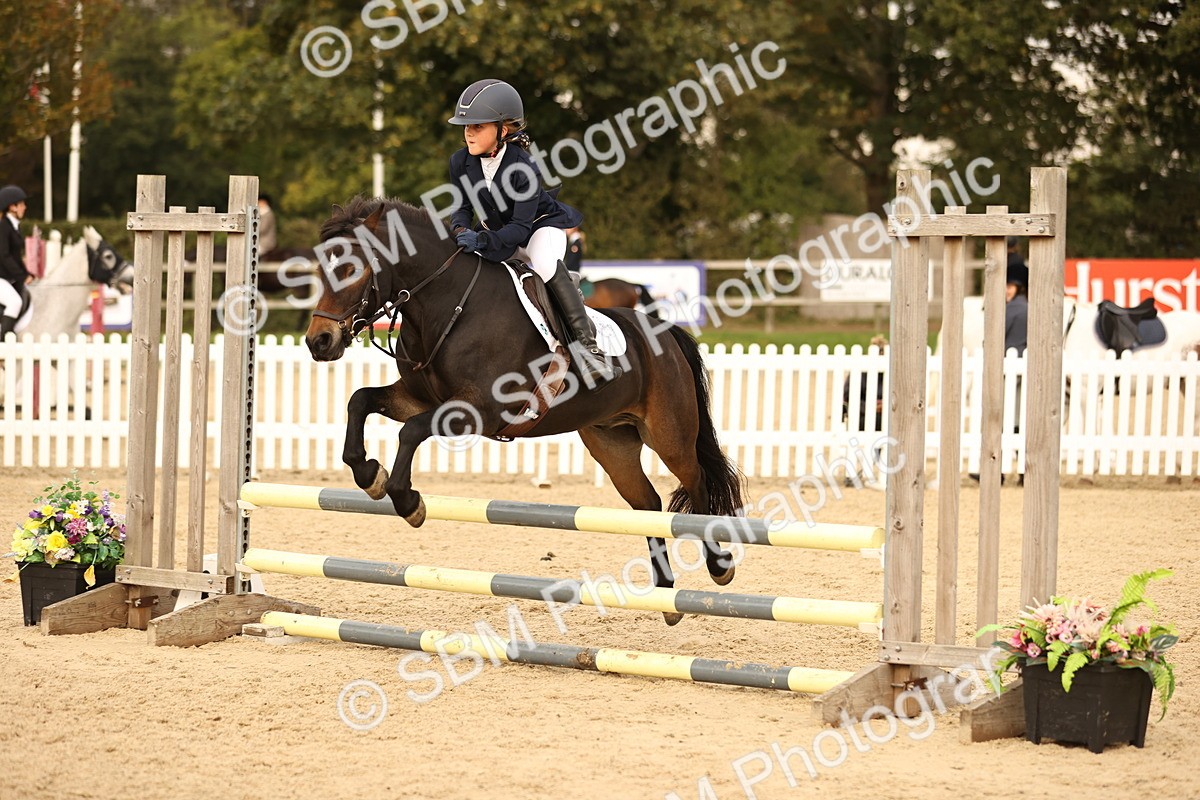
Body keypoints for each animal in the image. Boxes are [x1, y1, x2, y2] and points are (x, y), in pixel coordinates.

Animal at [303, 198, 744, 624]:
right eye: (321, 269)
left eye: (350, 268)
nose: (318, 342)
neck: (447, 305)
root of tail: (666, 333)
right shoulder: (419, 399)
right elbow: (360, 400)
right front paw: (369, 475)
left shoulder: (479, 409)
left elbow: (410, 431)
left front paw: (408, 501)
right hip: (611, 441)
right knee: (648, 504)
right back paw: (666, 594)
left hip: (669, 435)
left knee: (697, 483)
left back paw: (719, 567)